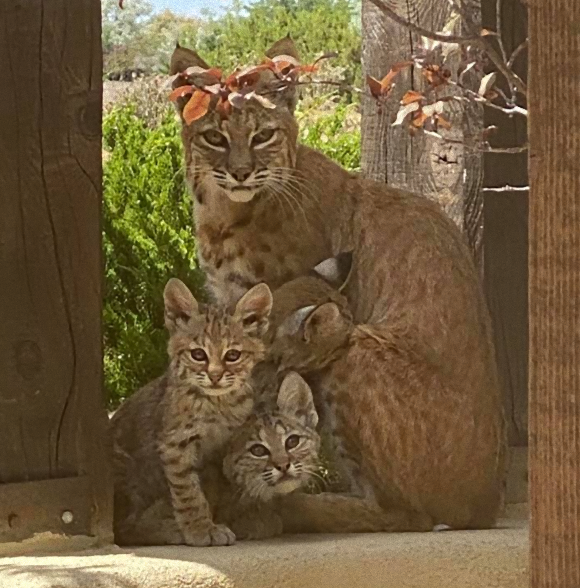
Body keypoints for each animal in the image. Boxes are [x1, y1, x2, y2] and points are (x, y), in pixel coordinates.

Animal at [112, 276, 274, 548]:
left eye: (233, 355)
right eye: (198, 354)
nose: (215, 376)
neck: (218, 402)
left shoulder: (225, 448)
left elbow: (217, 489)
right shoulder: (175, 444)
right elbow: (188, 491)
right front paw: (200, 529)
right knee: (122, 528)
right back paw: (167, 530)